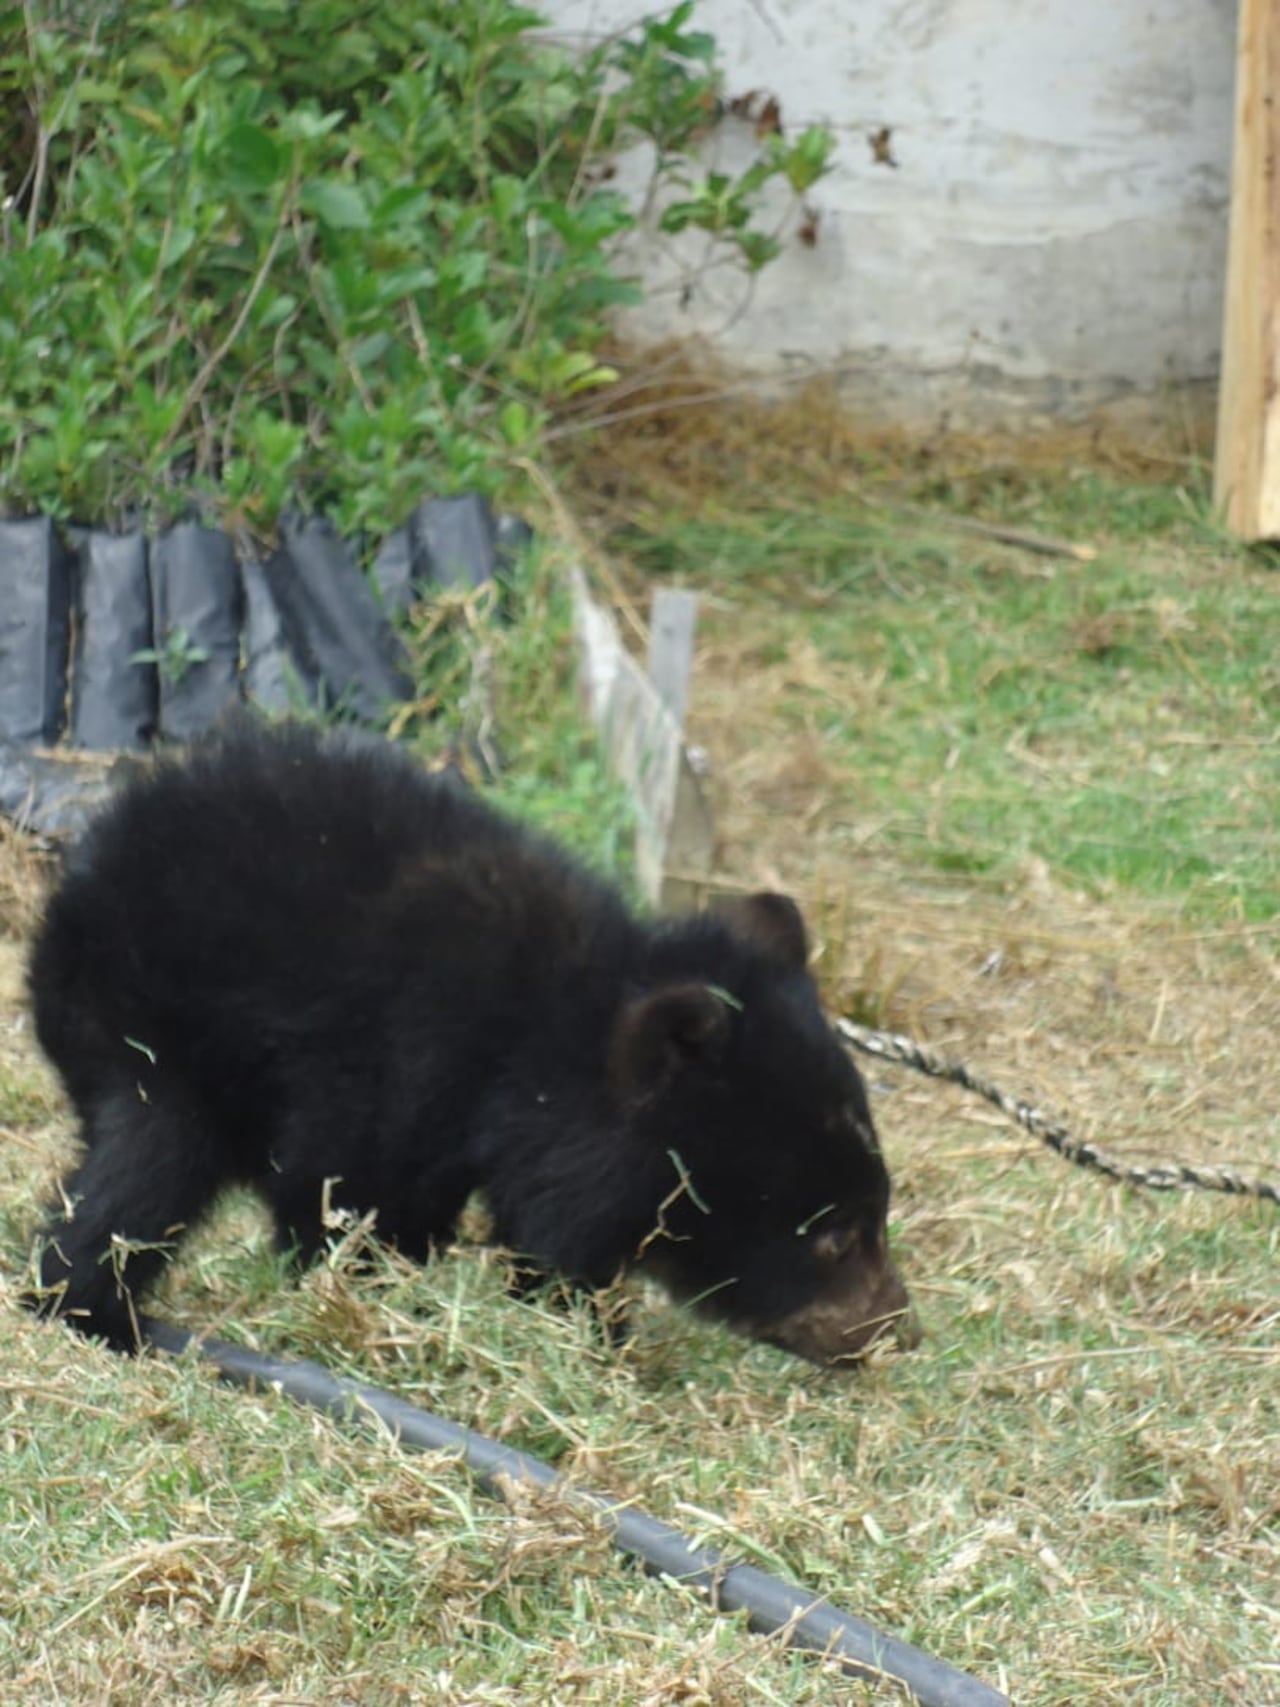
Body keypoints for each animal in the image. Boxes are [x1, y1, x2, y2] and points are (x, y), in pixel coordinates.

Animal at [25, 718, 915, 1363]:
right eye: (832, 1235)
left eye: (878, 1208)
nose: (896, 1327)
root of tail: (76, 886)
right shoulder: (386, 1068)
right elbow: (346, 1195)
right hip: (155, 1030)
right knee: (143, 1176)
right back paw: (98, 1313)